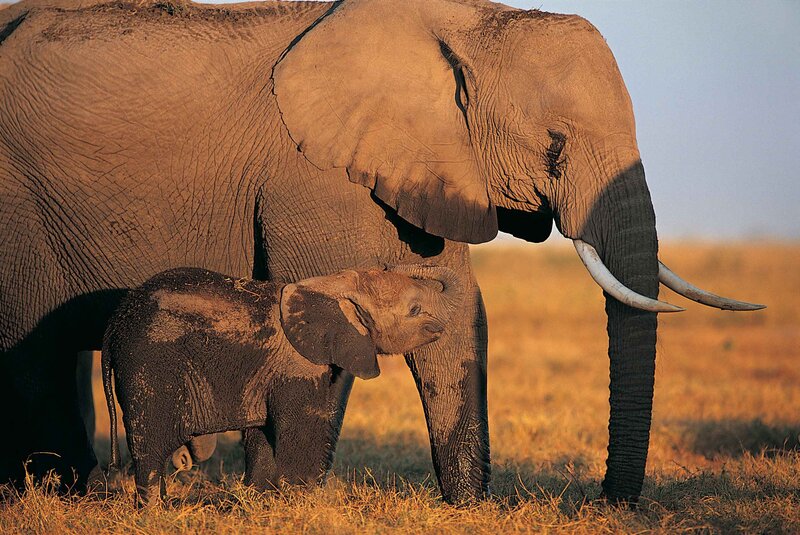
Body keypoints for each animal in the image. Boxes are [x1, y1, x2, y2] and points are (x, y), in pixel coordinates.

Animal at [102, 265, 462, 506]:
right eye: (414, 310)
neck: (335, 284)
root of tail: (113, 325)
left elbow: (266, 433)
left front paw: (261, 502)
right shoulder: (297, 365)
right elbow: (301, 426)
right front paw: (301, 502)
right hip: (148, 364)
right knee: (150, 446)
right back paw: (154, 513)